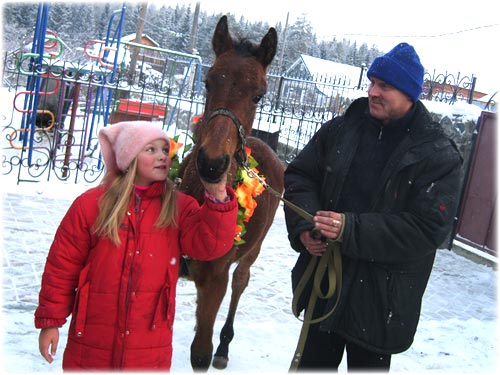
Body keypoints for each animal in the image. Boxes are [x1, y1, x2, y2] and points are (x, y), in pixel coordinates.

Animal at [178, 16, 284, 370]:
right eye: (208, 82)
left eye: (259, 96)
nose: (212, 163)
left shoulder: (215, 280)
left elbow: (200, 353)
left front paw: (213, 348)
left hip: (252, 251)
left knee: (242, 280)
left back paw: (224, 346)